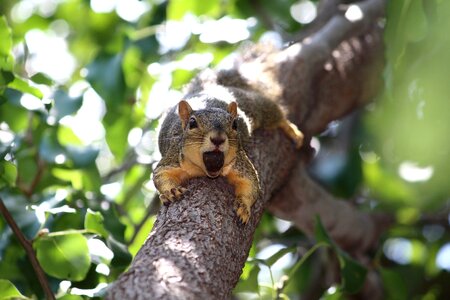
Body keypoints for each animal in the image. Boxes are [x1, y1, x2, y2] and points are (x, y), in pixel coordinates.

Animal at [153, 68, 304, 223]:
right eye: (192, 123)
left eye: (235, 124)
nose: (218, 139)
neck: (204, 171)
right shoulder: (173, 158)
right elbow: (161, 174)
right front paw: (171, 191)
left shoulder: (240, 162)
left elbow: (251, 184)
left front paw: (243, 206)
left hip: (254, 105)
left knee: (274, 113)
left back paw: (291, 130)